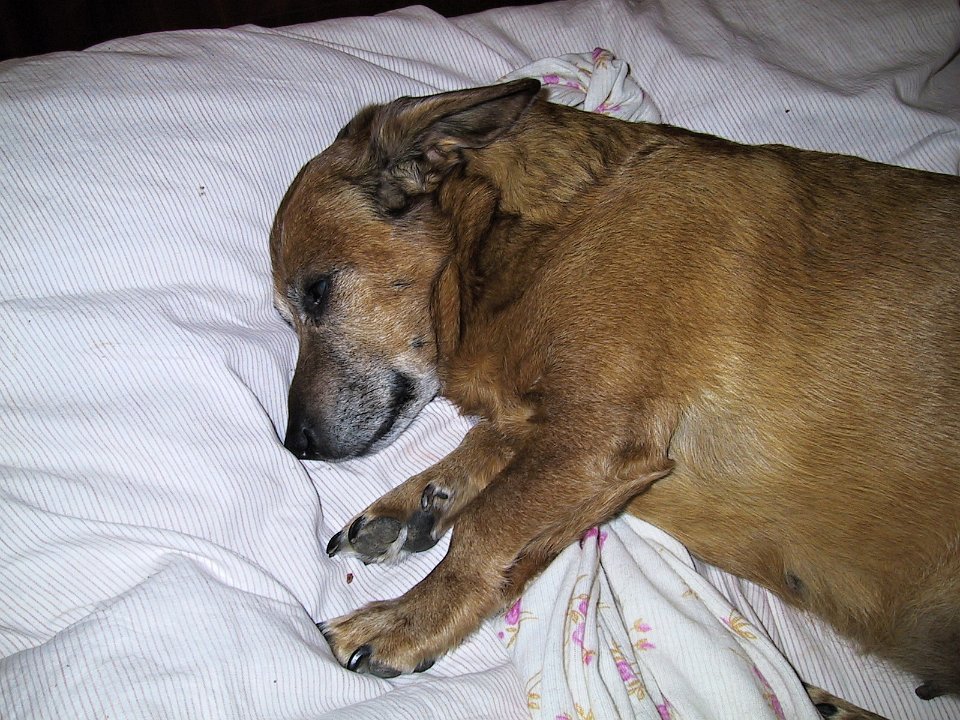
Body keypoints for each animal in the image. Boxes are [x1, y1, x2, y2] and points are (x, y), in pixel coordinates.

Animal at [270, 78, 960, 715]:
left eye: (317, 292)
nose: (294, 444)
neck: (537, 233)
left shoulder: (596, 438)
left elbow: (486, 529)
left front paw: (404, 619)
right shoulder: (556, 432)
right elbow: (485, 452)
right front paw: (414, 501)